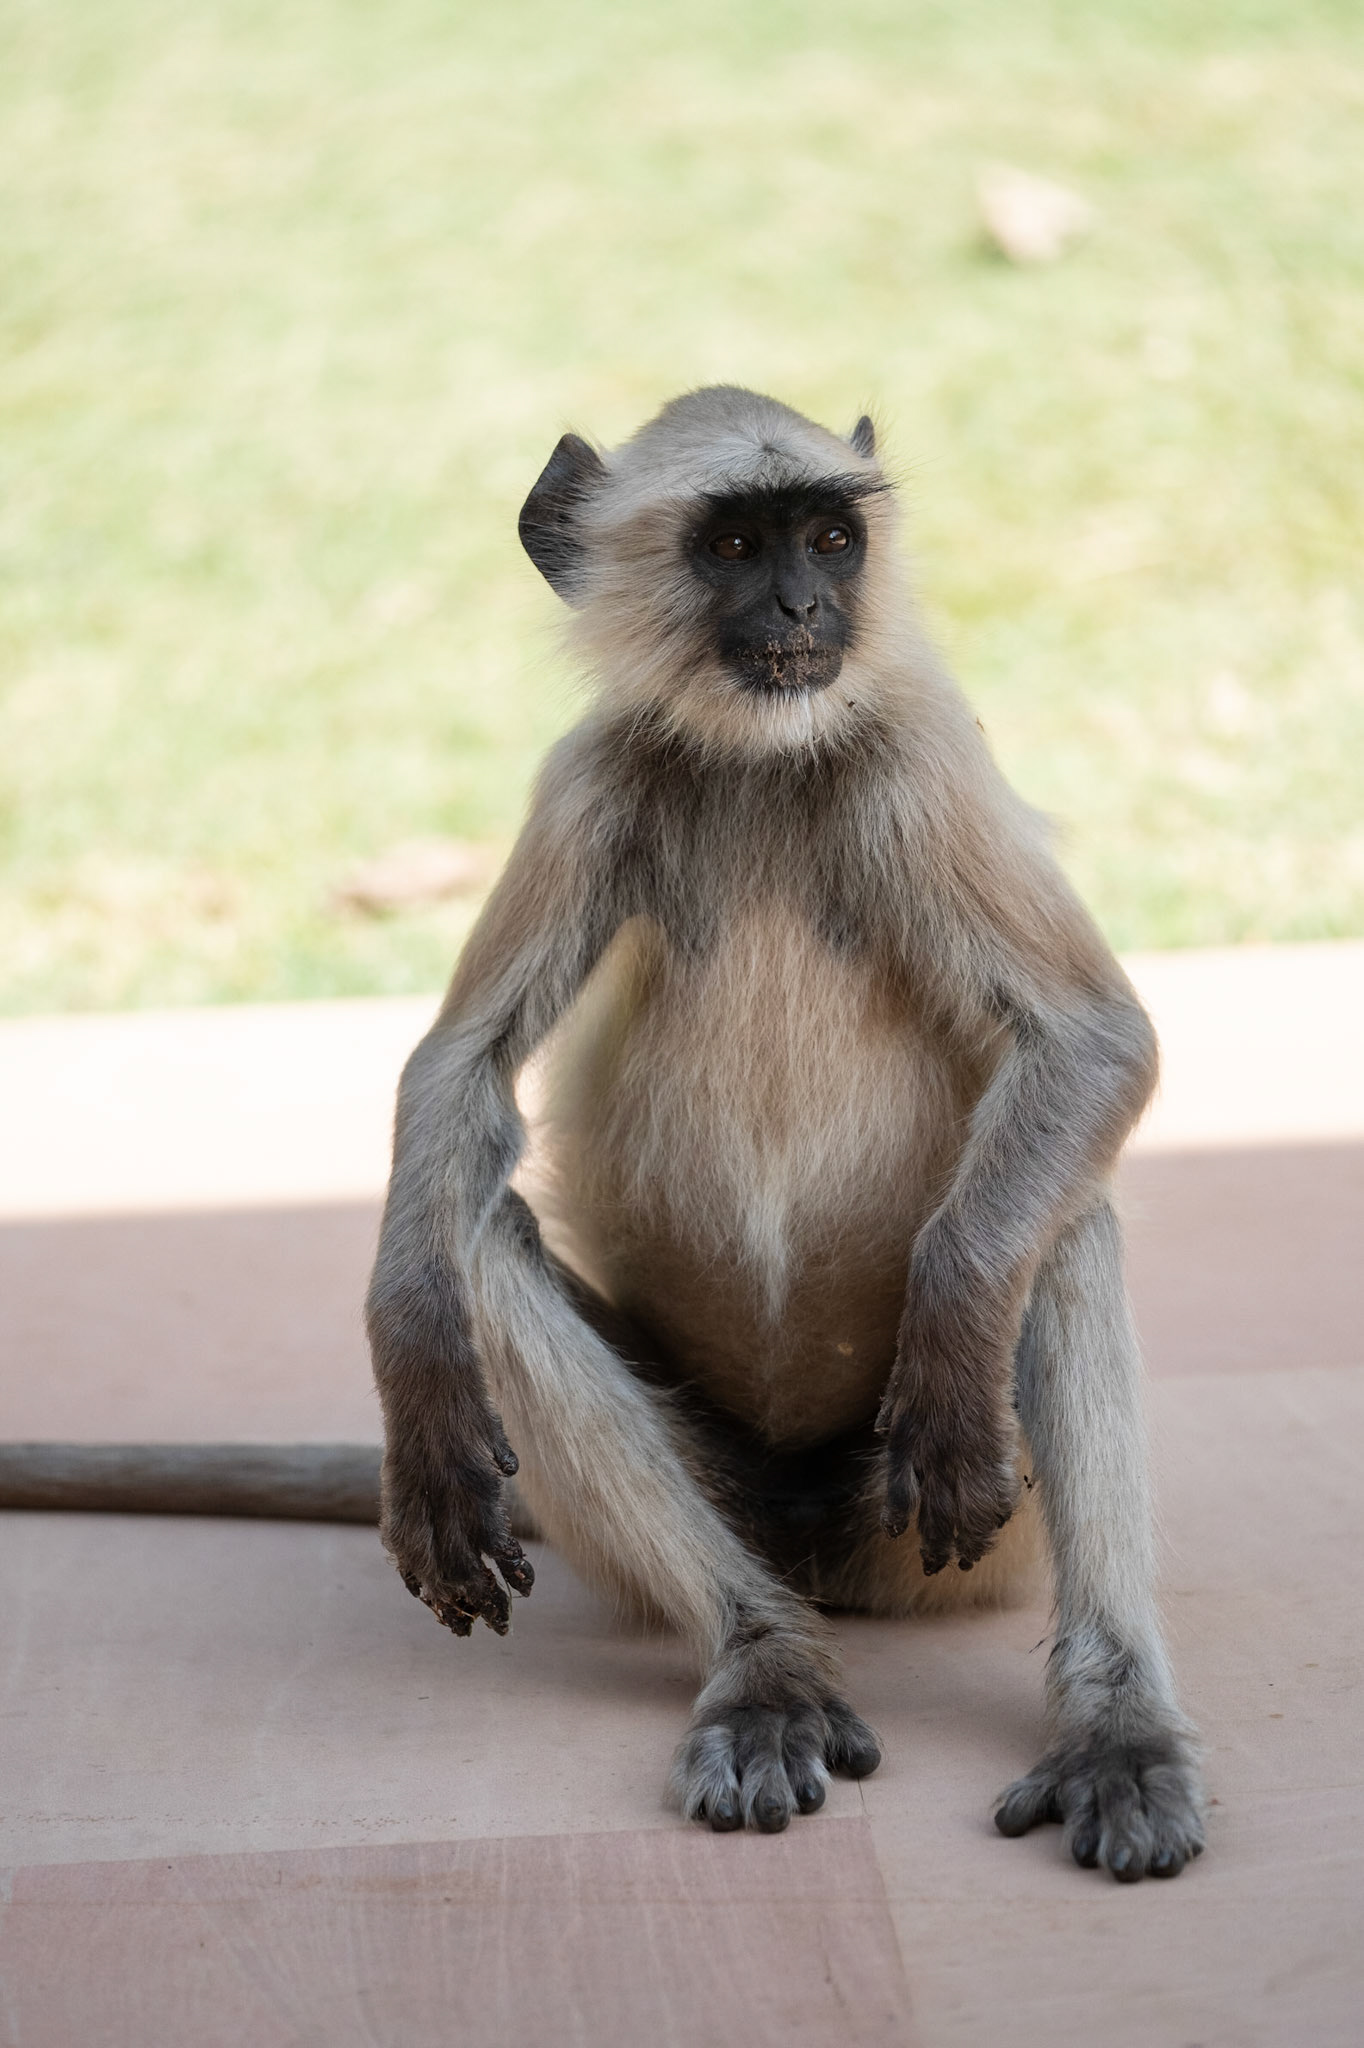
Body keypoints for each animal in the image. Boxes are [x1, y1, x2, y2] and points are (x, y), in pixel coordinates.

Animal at [359, 386, 1206, 1878]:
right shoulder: (588, 778)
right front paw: (415, 1377)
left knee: (1063, 1222)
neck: (761, 760)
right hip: (722, 1479)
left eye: (828, 538)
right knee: (474, 1228)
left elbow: (1094, 1040)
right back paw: (764, 1667)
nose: (809, 608)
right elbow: (456, 1078)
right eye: (737, 545)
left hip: (942, 1525)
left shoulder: (919, 746)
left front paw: (954, 1314)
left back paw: (1115, 1733)